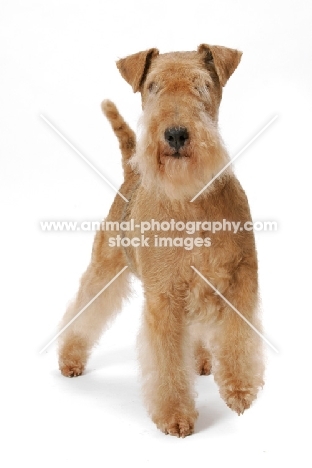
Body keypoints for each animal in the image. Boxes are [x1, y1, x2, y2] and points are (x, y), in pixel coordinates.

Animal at [58, 44, 264, 438]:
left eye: (202, 85)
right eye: (152, 86)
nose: (176, 135)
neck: (190, 196)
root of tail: (132, 171)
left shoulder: (240, 278)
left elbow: (238, 338)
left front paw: (240, 390)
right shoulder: (165, 293)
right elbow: (167, 361)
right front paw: (175, 416)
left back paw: (203, 360)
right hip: (105, 264)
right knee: (84, 310)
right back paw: (69, 359)